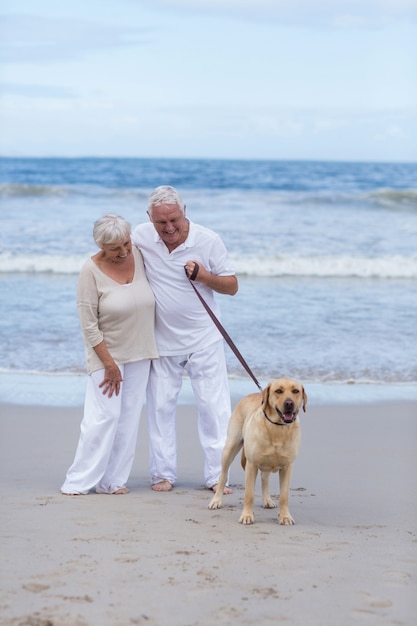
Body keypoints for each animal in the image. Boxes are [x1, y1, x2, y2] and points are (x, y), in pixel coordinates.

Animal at [208, 378, 306, 524]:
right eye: (278, 391)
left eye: (295, 391)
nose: (289, 403)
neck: (278, 428)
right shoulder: (251, 465)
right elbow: (249, 495)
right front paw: (247, 515)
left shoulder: (287, 467)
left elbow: (284, 496)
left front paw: (285, 516)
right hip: (229, 449)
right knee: (223, 476)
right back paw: (216, 500)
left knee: (264, 477)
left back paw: (267, 500)